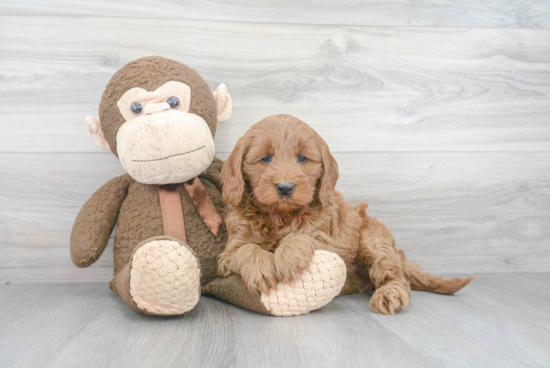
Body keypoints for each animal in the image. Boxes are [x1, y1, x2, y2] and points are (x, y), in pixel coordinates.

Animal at [219, 114, 474, 314]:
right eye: (265, 158)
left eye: (302, 158)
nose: (285, 187)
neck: (280, 216)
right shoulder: (229, 251)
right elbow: (245, 249)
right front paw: (261, 268)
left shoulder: (327, 242)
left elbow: (299, 236)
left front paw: (287, 258)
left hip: (374, 241)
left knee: (395, 277)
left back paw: (388, 295)